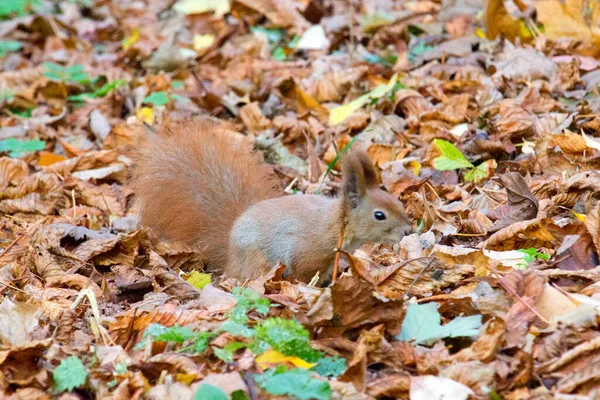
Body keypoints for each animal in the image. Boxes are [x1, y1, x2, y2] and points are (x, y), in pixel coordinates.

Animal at [132, 118, 412, 282]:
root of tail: (231, 257)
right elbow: (303, 275)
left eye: (397, 202)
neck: (335, 224)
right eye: (379, 215)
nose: (408, 230)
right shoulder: (308, 254)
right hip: (258, 261)